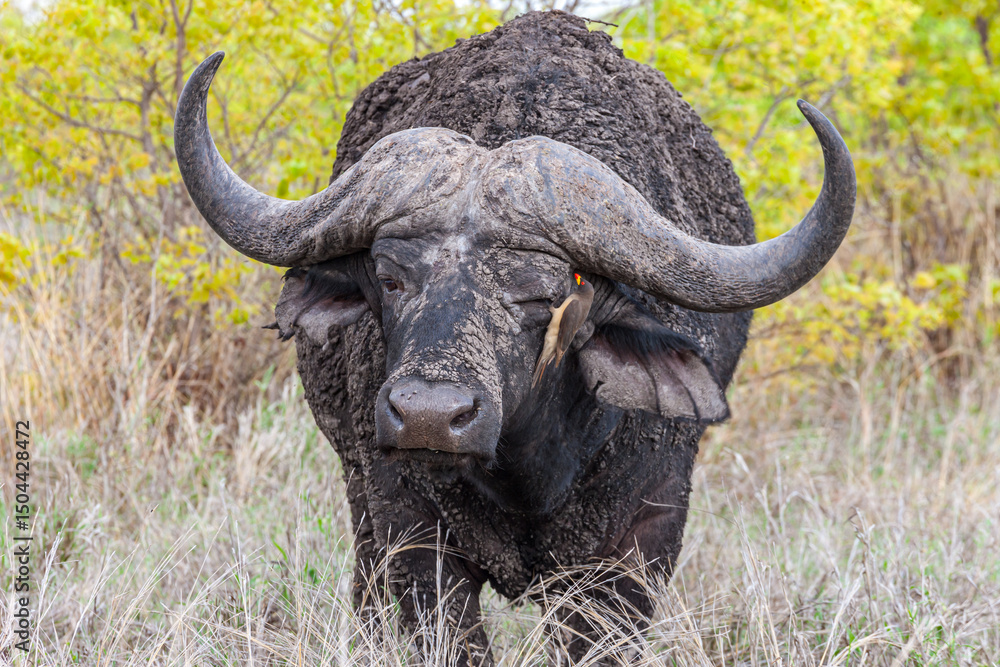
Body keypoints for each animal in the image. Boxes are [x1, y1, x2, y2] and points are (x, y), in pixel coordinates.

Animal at [174, 11, 855, 665]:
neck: (529, 469)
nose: (428, 415)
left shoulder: (636, 548)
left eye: (543, 296)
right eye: (390, 279)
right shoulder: (409, 530)